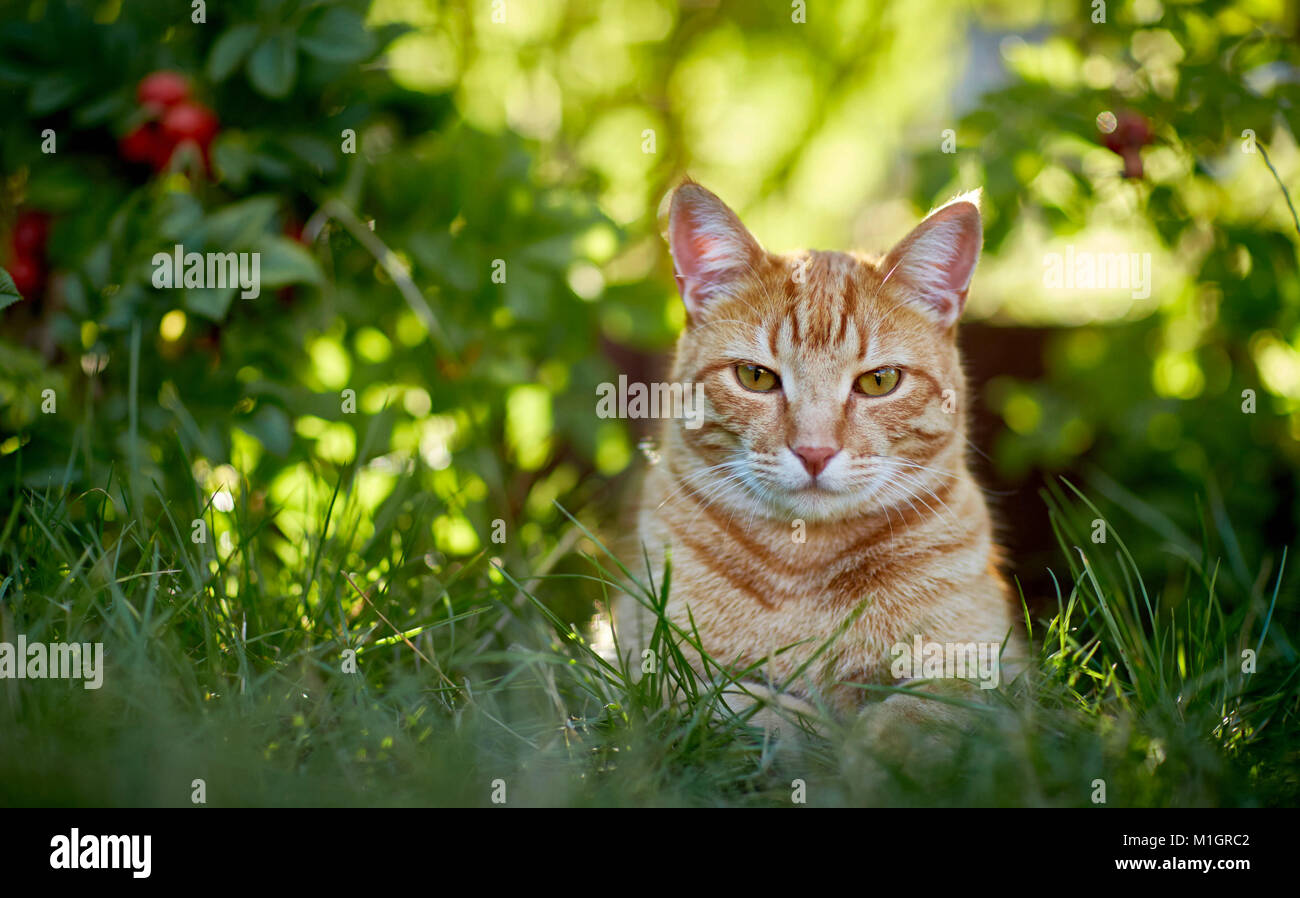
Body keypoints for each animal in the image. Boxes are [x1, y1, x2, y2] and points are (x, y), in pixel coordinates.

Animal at [613, 179, 1029, 732]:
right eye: (755, 377)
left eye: (880, 381)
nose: (814, 451)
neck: (801, 563)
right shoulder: (641, 667)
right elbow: (739, 707)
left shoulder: (988, 673)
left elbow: (913, 714)